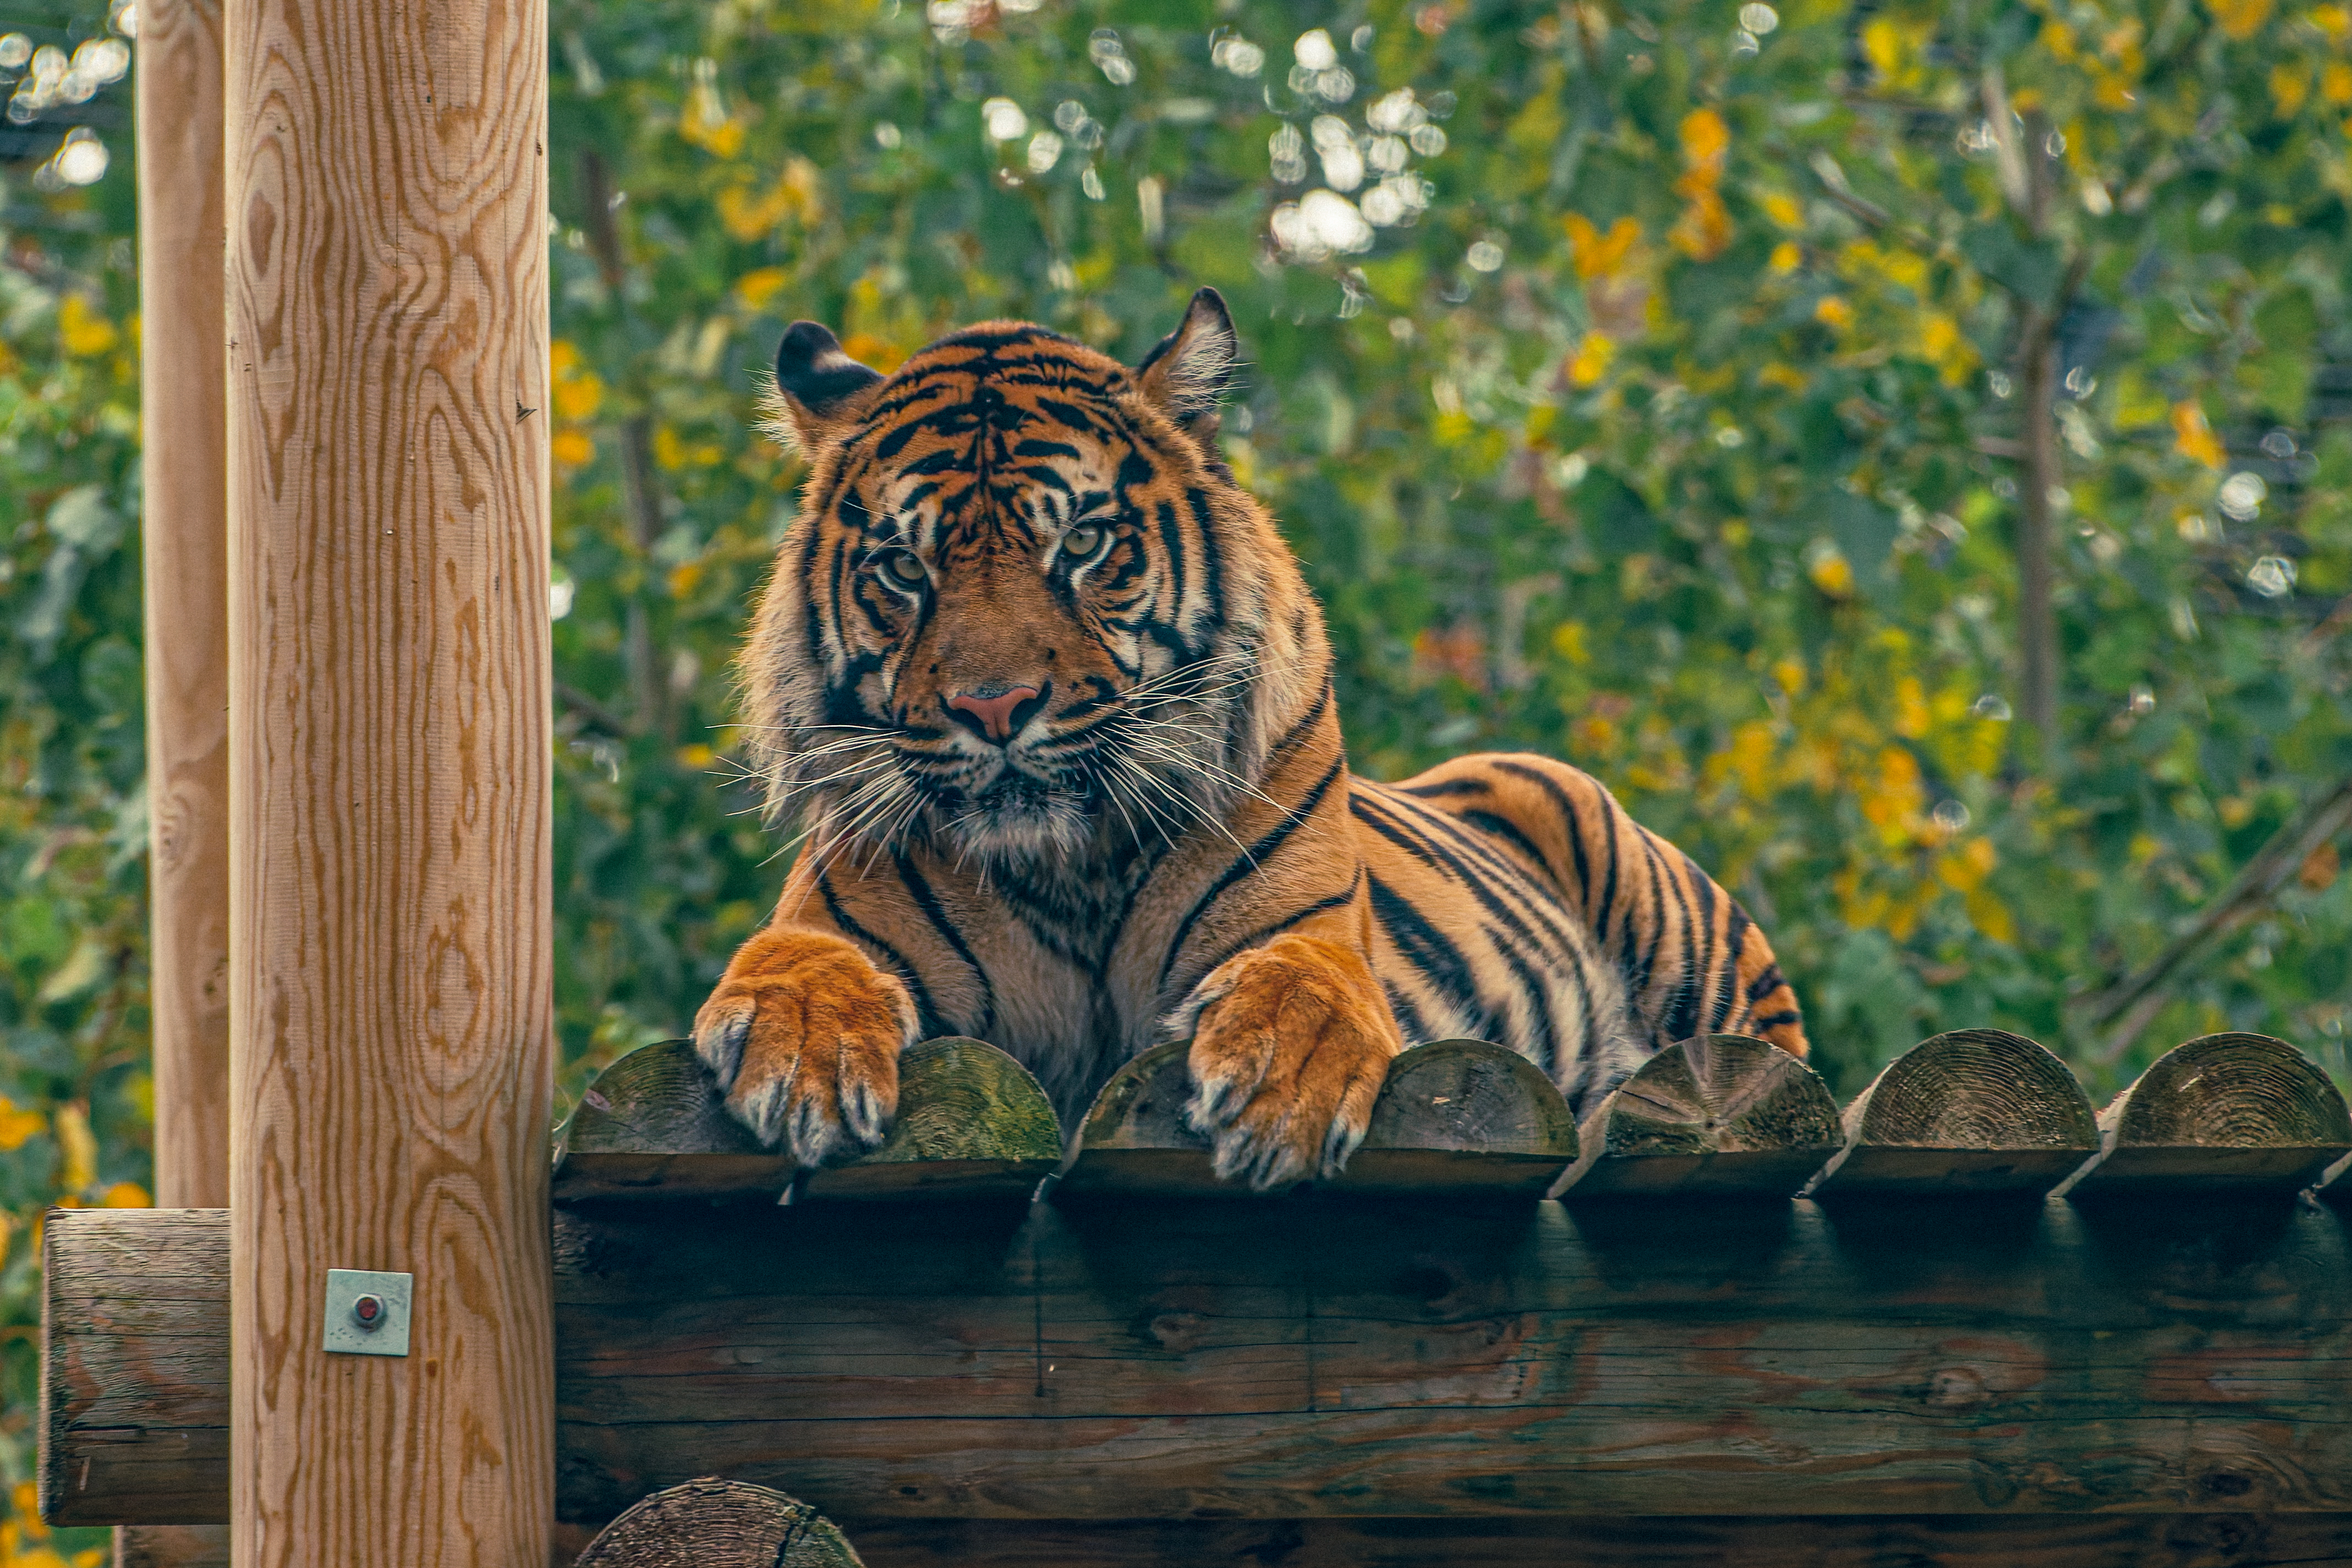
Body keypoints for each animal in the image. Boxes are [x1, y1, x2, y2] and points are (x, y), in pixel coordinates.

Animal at [693, 287, 1807, 1190]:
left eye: (1083, 543)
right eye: (903, 567)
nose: (996, 708)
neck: (1067, 867)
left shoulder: (1305, 925)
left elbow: (1302, 981)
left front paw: (1282, 1081)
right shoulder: (835, 916)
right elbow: (793, 960)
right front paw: (804, 1055)